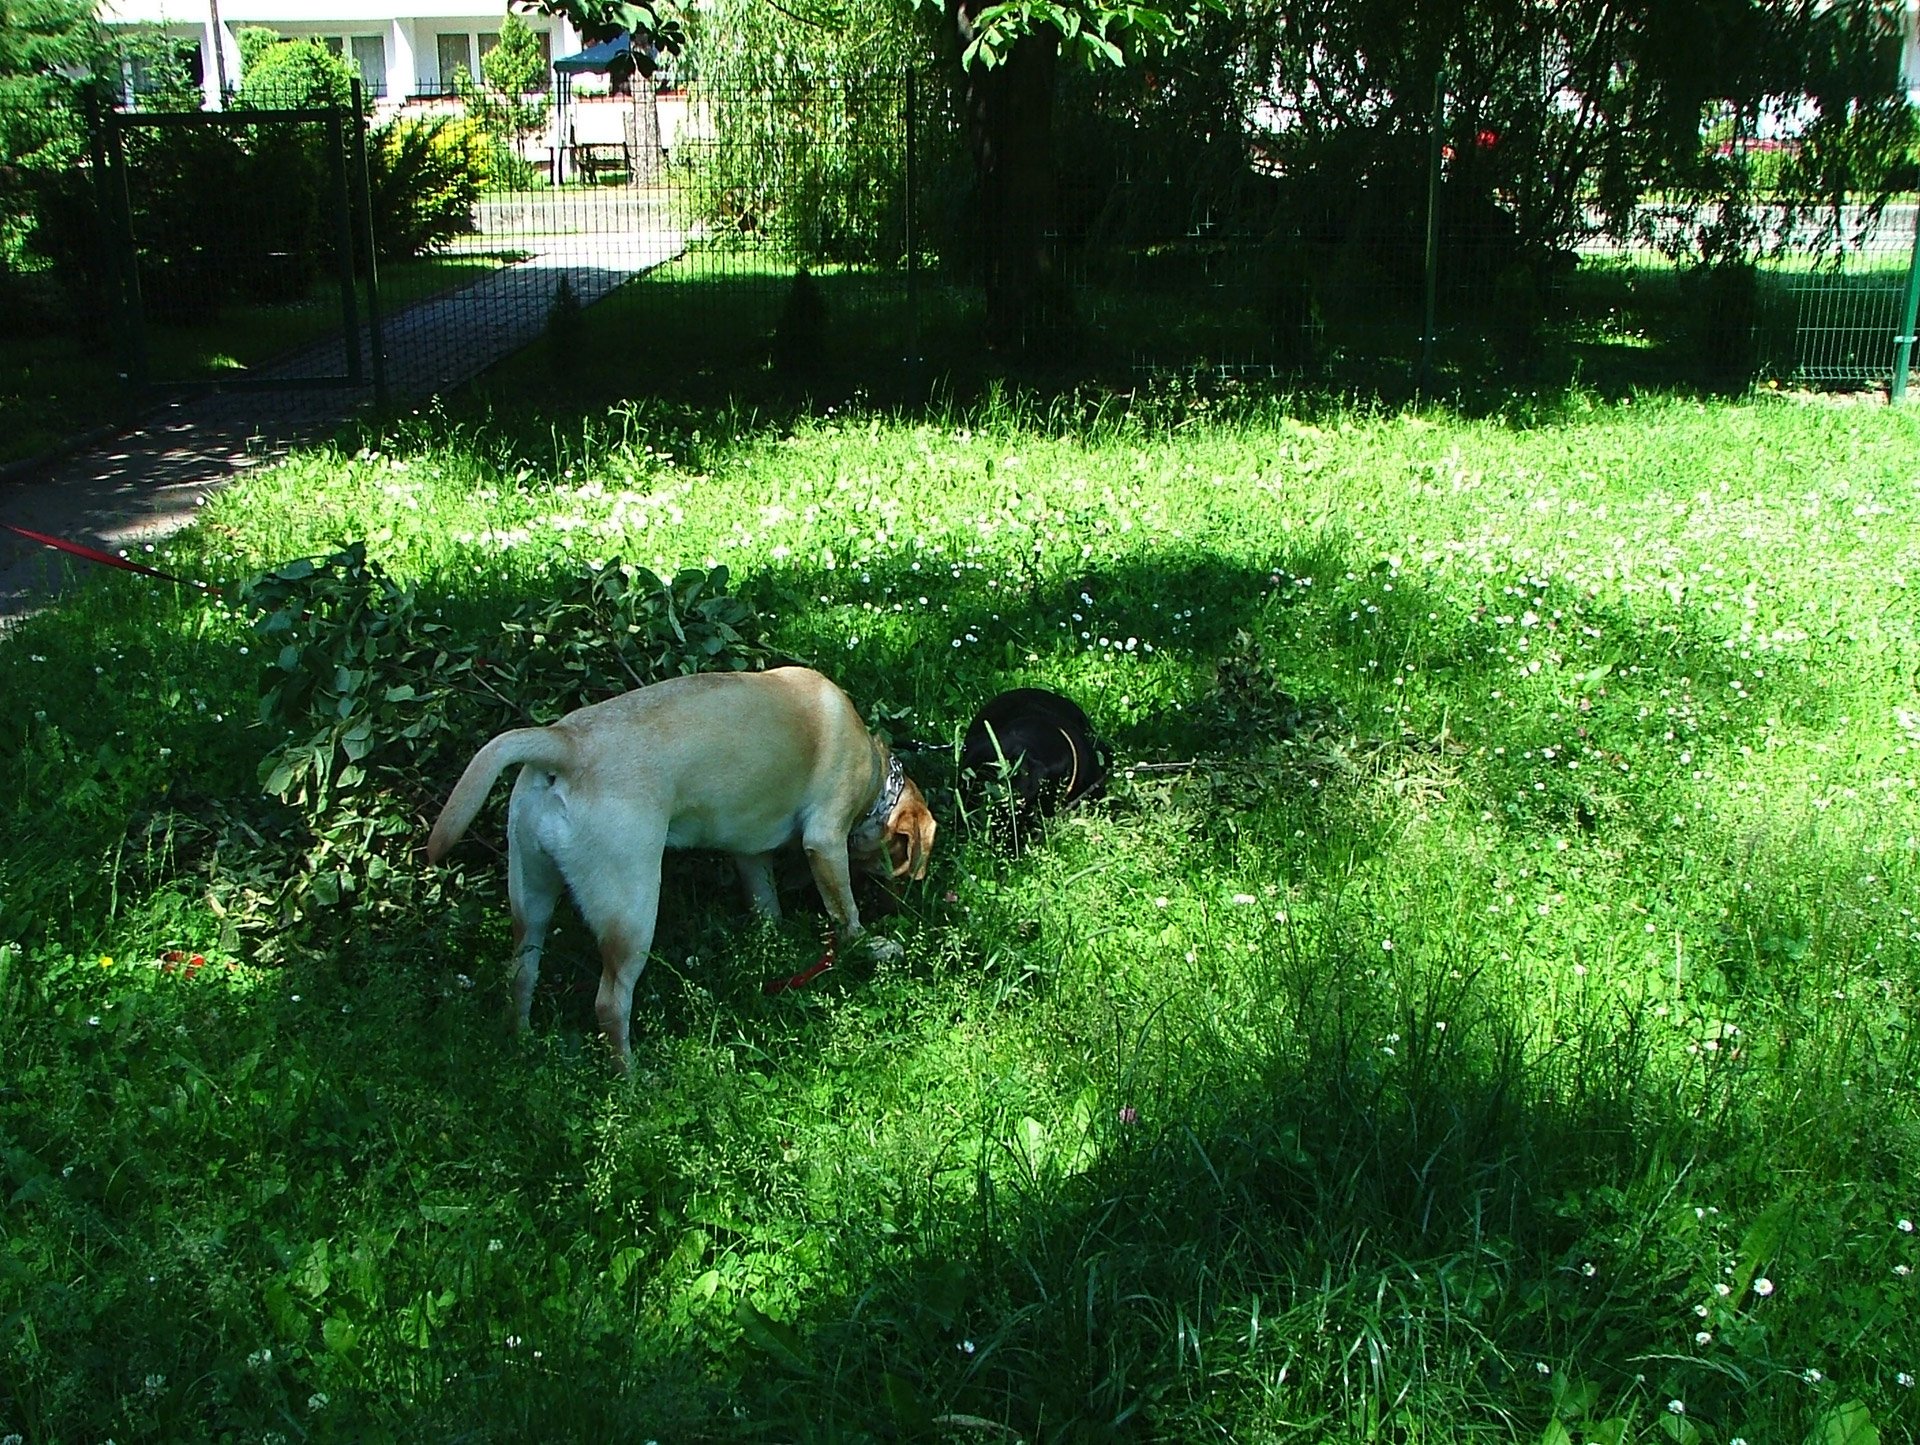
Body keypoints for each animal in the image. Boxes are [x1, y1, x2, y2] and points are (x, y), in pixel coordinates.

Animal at [437, 663, 944, 1059]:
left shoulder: (750, 855)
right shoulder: (825, 840)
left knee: (520, 975)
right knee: (610, 1003)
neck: (876, 776)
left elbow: (766, 905)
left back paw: (522, 1043)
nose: (905, 900)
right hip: (632, 911)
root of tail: (563, 743)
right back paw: (632, 1080)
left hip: (532, 898)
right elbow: (845, 912)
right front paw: (869, 946)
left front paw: (773, 942)